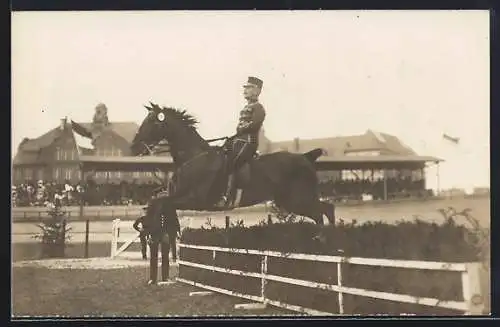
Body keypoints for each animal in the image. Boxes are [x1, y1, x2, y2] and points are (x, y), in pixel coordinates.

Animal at [131, 102, 336, 228]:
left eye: (151, 122)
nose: (134, 147)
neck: (193, 157)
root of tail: (305, 157)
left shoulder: (194, 200)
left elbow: (160, 202)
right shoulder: (175, 195)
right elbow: (156, 201)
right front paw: (144, 222)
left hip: (298, 199)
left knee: (325, 210)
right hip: (288, 200)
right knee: (323, 211)